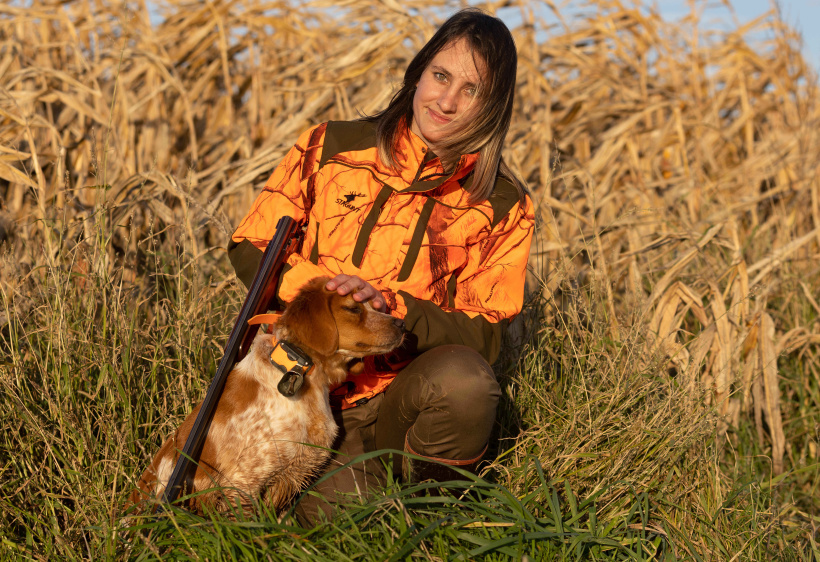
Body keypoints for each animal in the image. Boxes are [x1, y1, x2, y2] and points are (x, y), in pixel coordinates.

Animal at [129, 276, 406, 512]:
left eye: (373, 305)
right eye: (353, 309)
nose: (402, 323)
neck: (304, 375)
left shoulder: (291, 475)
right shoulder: (244, 482)